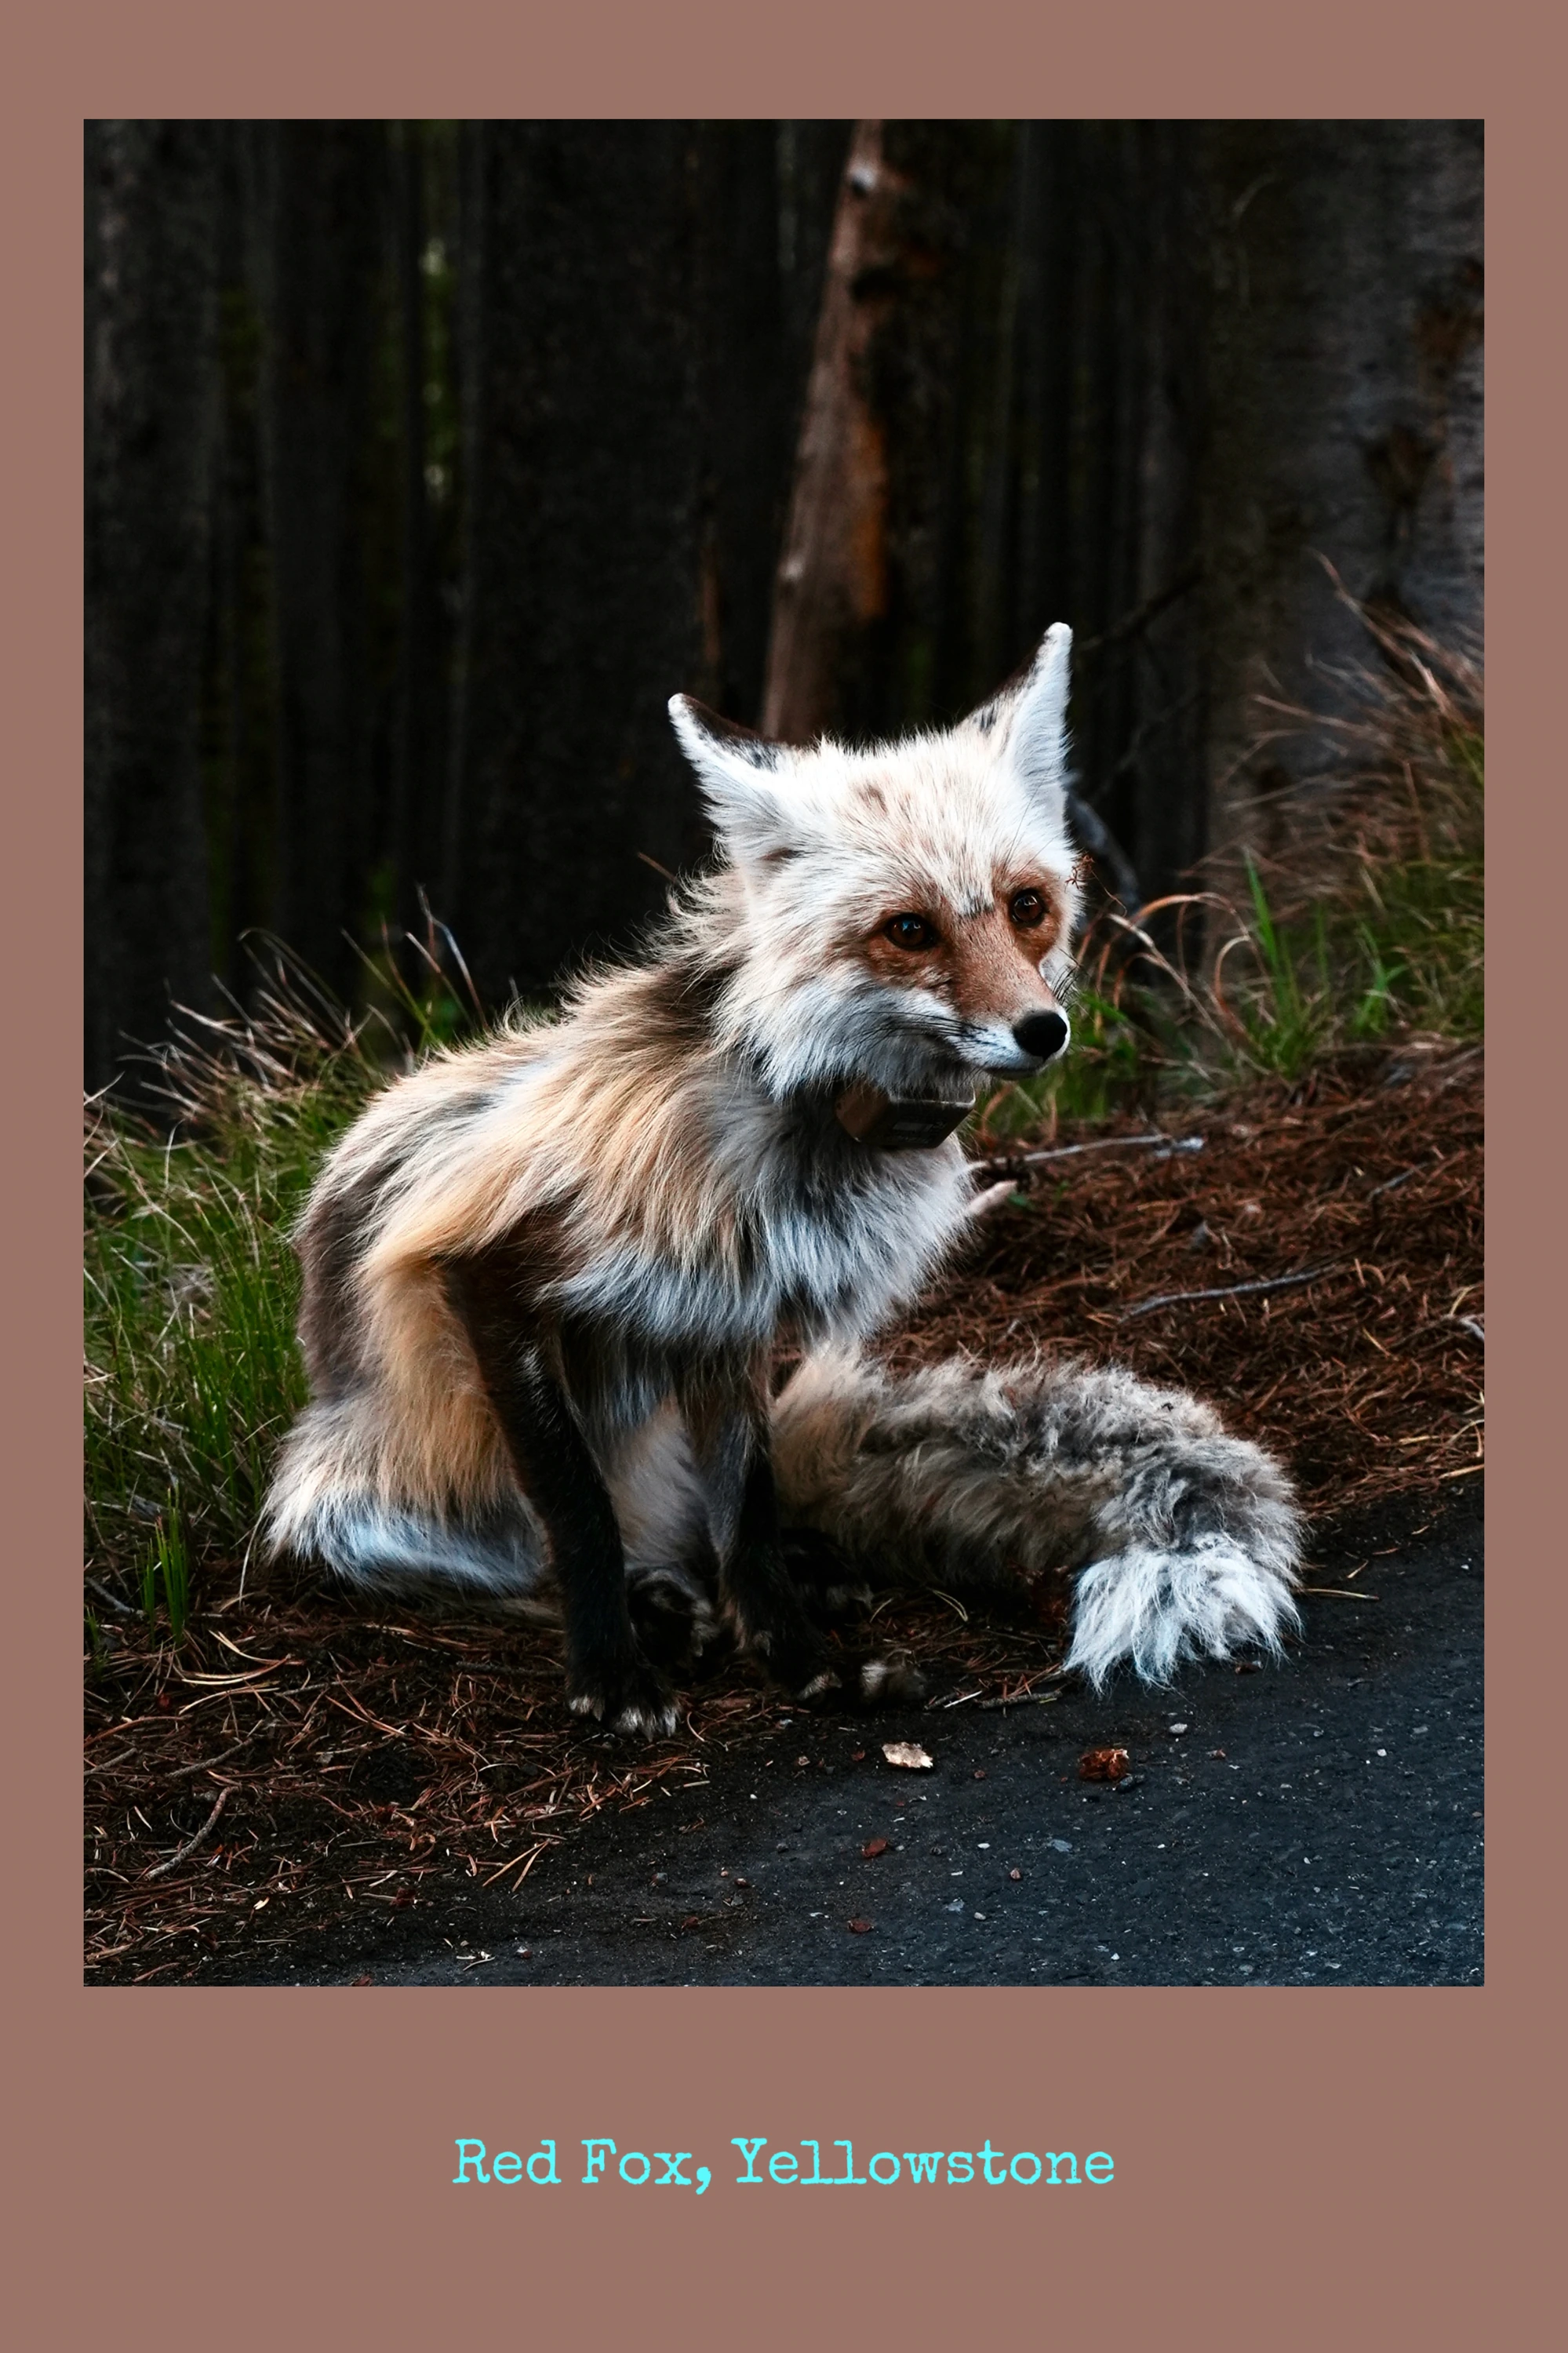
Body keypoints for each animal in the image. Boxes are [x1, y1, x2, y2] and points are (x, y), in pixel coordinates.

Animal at [263, 624, 1302, 1734]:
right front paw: (611, 1671)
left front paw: (800, 1662)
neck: (796, 1127)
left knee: (713, 1536)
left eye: (1026, 907)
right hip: (346, 1516)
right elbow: (578, 1517)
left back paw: (779, 1579)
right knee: (532, 1570)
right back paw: (658, 1610)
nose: (1043, 1029)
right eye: (909, 929)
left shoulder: (730, 1319)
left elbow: (750, 1520)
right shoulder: (490, 1265)